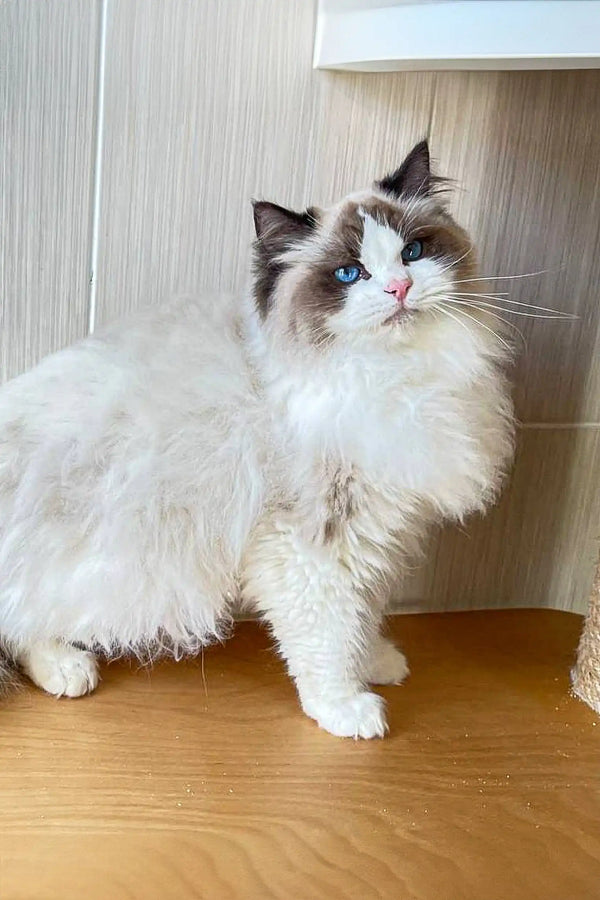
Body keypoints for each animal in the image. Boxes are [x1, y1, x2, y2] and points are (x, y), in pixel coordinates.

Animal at [1, 137, 516, 736]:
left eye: (412, 252)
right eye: (349, 274)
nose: (400, 288)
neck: (394, 378)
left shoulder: (377, 532)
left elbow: (363, 617)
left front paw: (377, 663)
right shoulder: (307, 545)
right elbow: (328, 638)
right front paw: (346, 708)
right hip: (110, 564)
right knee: (21, 619)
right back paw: (67, 668)